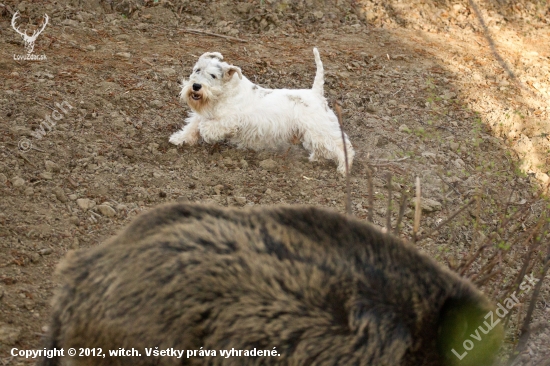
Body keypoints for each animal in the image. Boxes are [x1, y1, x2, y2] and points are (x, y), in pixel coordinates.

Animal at [170, 47, 356, 176]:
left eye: (214, 76)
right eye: (197, 70)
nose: (196, 86)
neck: (225, 92)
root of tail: (316, 93)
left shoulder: (229, 121)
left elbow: (206, 126)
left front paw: (206, 133)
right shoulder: (203, 113)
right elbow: (192, 126)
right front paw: (179, 139)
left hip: (320, 129)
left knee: (342, 145)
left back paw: (343, 168)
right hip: (313, 132)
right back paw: (316, 158)